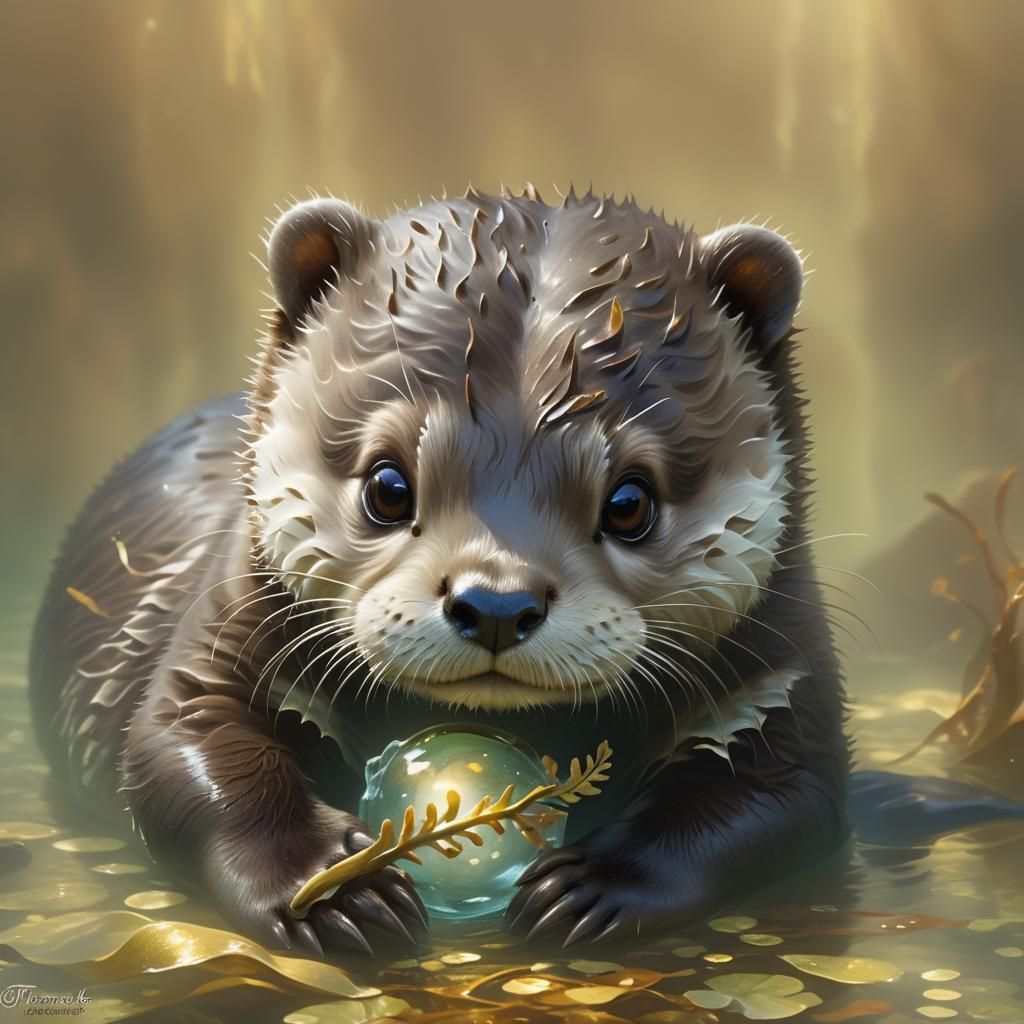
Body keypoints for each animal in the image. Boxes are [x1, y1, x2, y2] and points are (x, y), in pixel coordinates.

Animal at [30, 187, 850, 955]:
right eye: (388, 487)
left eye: (629, 502)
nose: (496, 602)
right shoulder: (216, 640)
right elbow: (188, 753)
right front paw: (334, 887)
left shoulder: (783, 672)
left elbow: (777, 794)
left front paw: (592, 884)